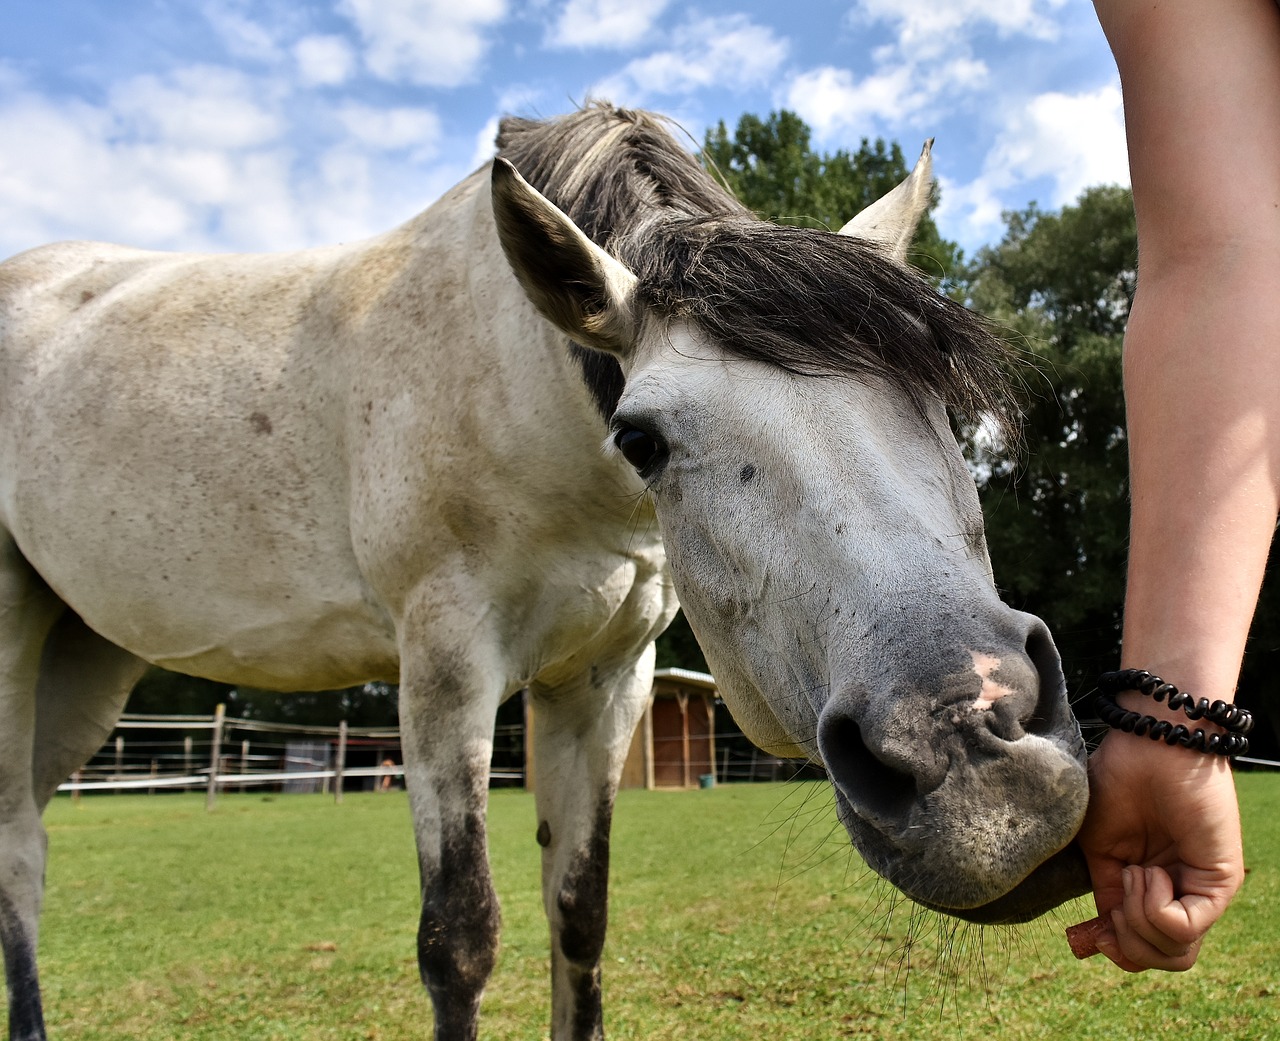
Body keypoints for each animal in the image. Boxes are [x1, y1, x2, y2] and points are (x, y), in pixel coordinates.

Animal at [0, 103, 1090, 1039]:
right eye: (642, 439)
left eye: (937, 392)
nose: (976, 747)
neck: (518, 382)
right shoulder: (445, 667)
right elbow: (459, 939)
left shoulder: (604, 678)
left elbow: (578, 911)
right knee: (15, 855)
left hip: (85, 662)